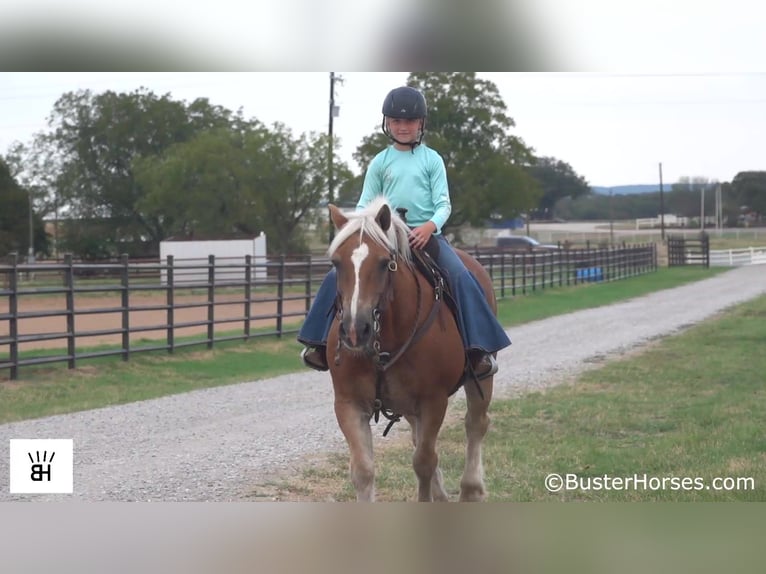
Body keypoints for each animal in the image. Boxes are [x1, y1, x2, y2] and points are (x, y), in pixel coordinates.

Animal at [328, 198, 500, 504]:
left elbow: (424, 462)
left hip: (481, 377)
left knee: (475, 424)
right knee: (419, 436)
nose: (355, 330)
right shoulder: (348, 404)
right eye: (336, 263)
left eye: (384, 263)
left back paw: (471, 489)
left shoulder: (433, 401)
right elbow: (363, 471)